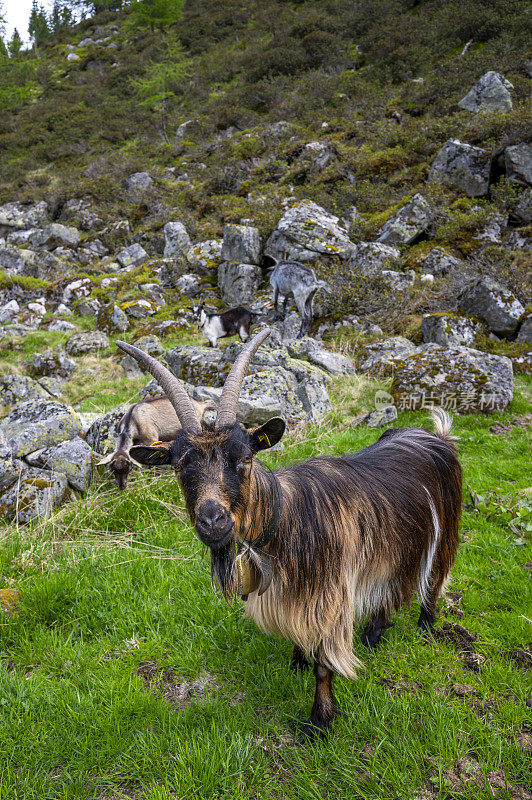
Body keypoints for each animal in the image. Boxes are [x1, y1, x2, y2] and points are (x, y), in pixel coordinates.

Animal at [116, 328, 462, 740]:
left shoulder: (330, 596)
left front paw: (319, 721)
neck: (285, 522)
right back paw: (374, 633)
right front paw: (298, 661)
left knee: (435, 575)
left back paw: (426, 624)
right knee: (391, 586)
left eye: (244, 458)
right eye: (180, 467)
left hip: (446, 525)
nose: (213, 521)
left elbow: (325, 664)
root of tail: (437, 437)